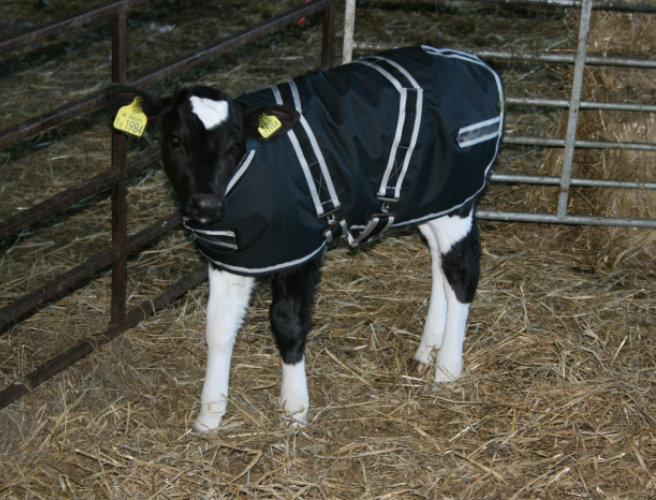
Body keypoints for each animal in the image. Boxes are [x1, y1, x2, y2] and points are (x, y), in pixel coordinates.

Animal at [110, 46, 504, 431]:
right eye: (175, 140)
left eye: (235, 146)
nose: (205, 204)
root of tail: (476, 64)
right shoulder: (232, 256)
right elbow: (218, 327)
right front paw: (209, 415)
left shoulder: (299, 248)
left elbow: (288, 323)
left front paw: (294, 407)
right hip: (432, 199)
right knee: (440, 262)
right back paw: (427, 350)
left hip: (457, 195)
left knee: (463, 271)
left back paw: (447, 370)